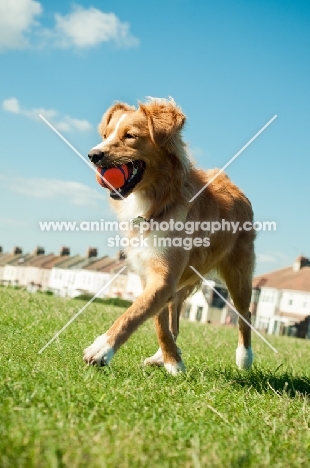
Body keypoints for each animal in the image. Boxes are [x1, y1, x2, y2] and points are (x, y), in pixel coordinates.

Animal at [83, 97, 256, 374]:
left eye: (130, 136)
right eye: (106, 135)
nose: (93, 155)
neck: (156, 202)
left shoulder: (165, 276)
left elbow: (133, 313)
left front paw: (102, 349)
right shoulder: (151, 275)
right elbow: (158, 320)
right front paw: (172, 361)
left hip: (238, 275)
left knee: (245, 315)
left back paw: (244, 357)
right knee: (174, 318)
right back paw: (162, 356)